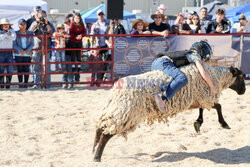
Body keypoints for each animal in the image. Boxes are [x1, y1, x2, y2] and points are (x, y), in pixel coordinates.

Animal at [92, 63, 246, 162]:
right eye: (240, 77)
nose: (244, 91)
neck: (216, 77)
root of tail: (116, 89)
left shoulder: (199, 98)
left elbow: (203, 110)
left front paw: (198, 123)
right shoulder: (205, 95)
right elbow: (219, 106)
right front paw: (224, 124)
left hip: (117, 110)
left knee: (100, 127)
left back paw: (93, 149)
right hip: (127, 114)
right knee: (106, 134)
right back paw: (97, 157)